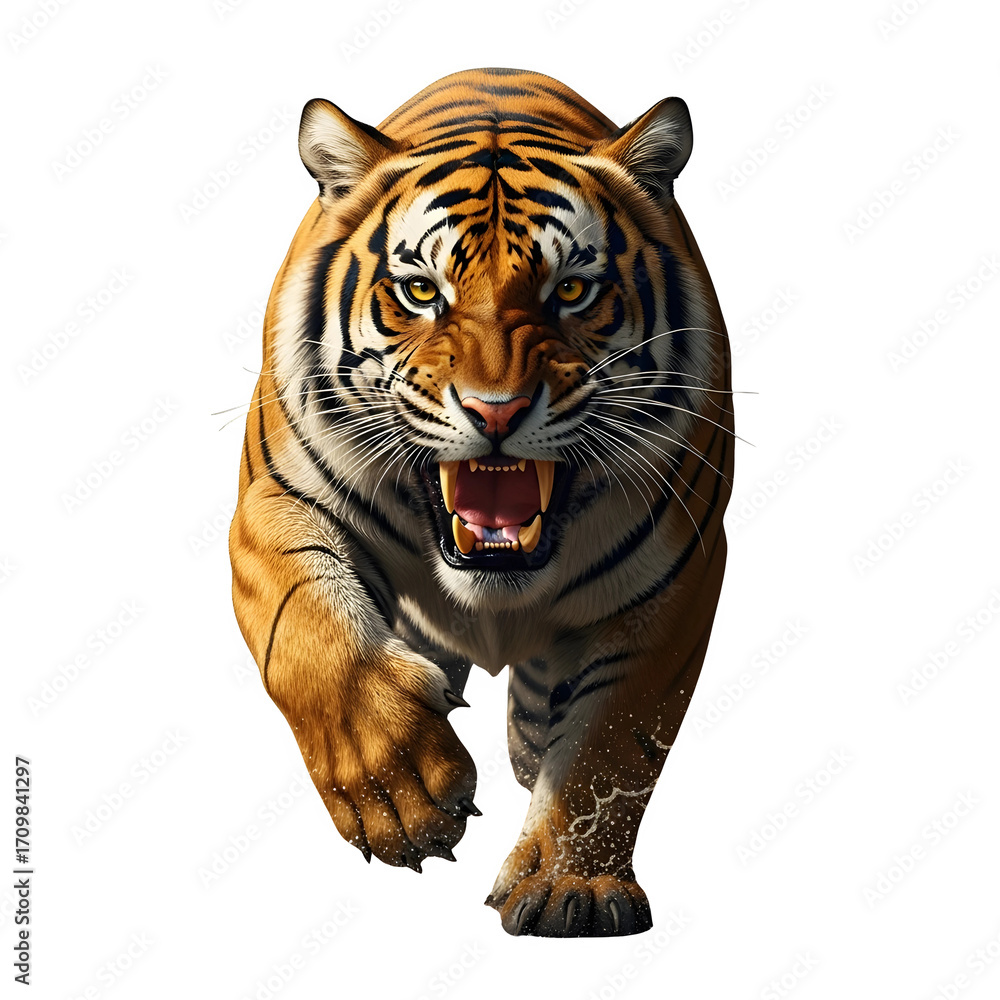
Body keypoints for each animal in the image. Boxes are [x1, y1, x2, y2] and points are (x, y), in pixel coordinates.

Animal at [229, 67, 734, 938]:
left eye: (572, 290)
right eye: (419, 291)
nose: (496, 410)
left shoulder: (681, 575)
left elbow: (611, 740)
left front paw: (574, 889)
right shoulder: (271, 497)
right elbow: (313, 633)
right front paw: (401, 793)